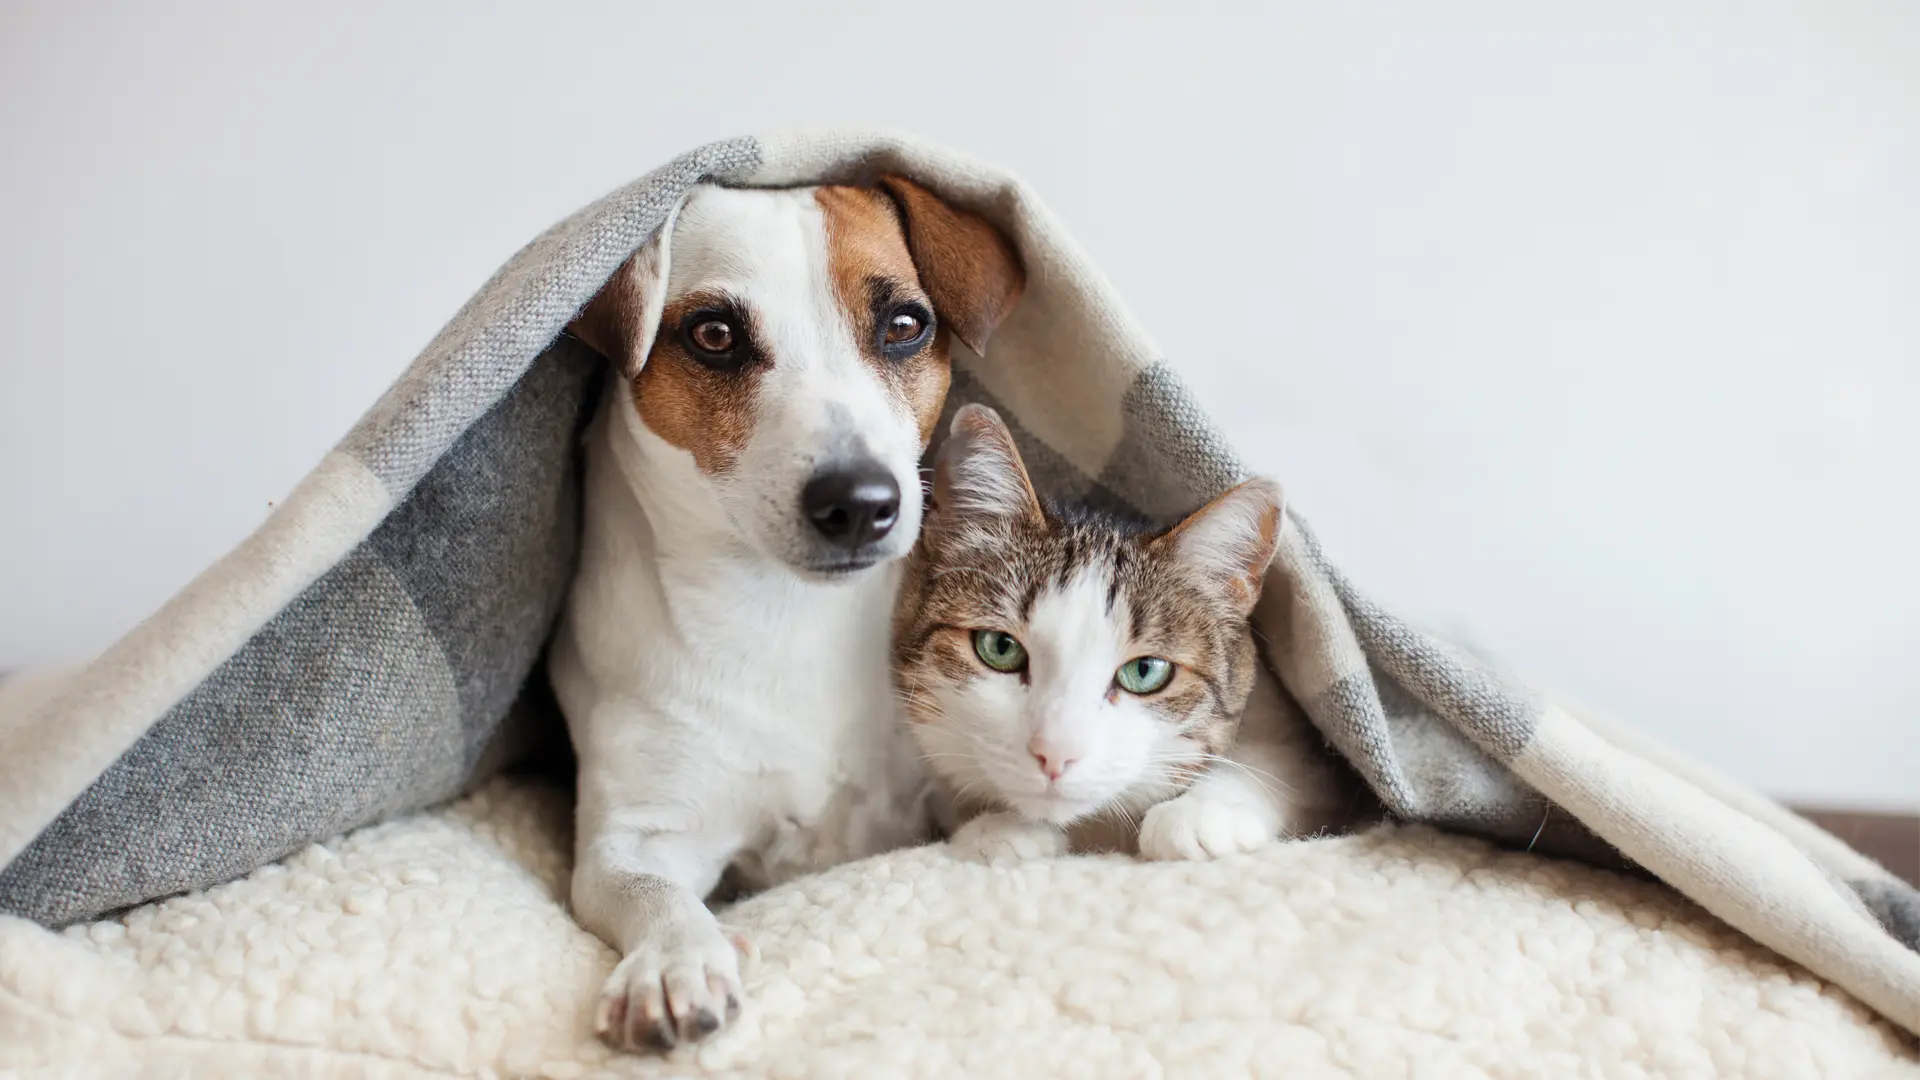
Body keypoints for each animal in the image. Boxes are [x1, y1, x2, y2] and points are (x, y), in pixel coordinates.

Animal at [549, 171, 1029, 1045]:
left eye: (904, 326)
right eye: (714, 335)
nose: (860, 502)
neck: (788, 615)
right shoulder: (632, 838)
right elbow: (652, 893)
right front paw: (674, 961)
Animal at [890, 399, 1344, 860]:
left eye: (1145, 671)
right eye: (999, 647)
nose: (1055, 754)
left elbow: (1280, 763)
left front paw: (1201, 812)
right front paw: (999, 828)